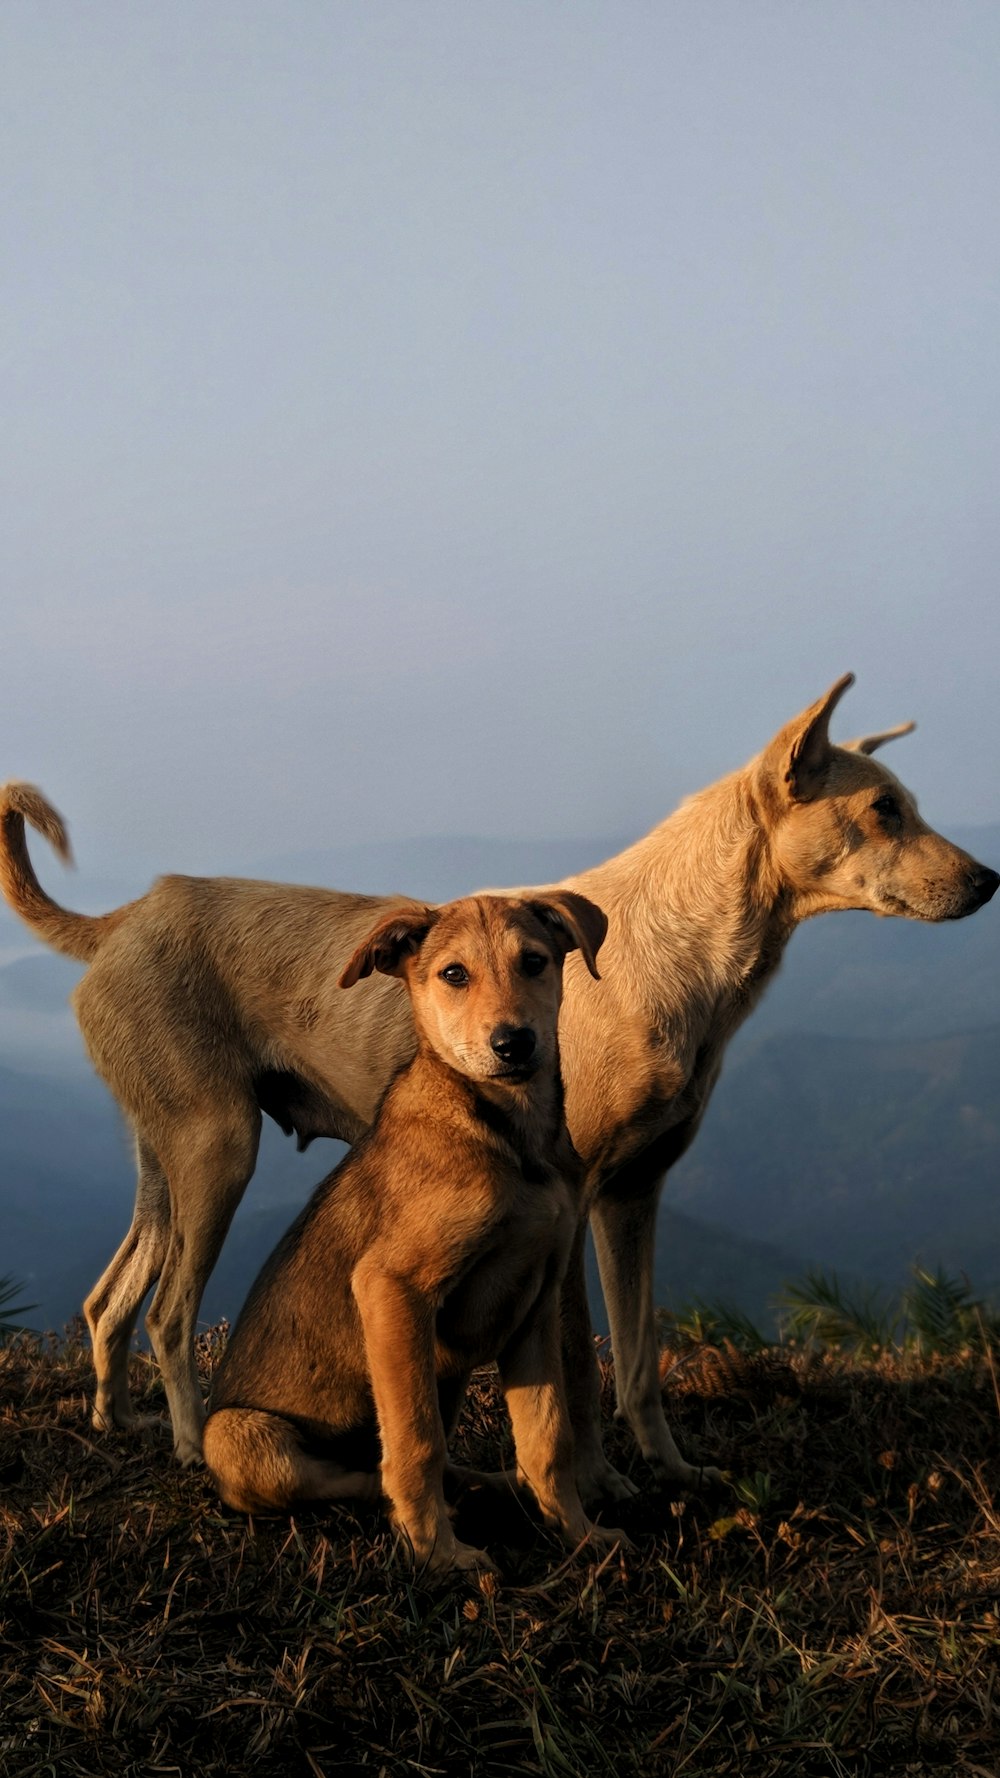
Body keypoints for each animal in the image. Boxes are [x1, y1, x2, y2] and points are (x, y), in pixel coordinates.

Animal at [0, 672, 989, 1493]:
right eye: (886, 809)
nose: (989, 879)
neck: (680, 948)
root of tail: (122, 920)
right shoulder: (579, 1204)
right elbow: (581, 1373)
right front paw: (601, 1485)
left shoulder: (634, 1196)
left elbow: (638, 1360)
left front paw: (668, 1471)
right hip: (219, 1151)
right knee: (168, 1313)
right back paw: (189, 1440)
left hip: (168, 1157)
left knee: (108, 1301)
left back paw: (116, 1421)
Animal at [203, 889, 622, 1571]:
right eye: (454, 974)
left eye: (534, 962)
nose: (514, 1043)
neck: (510, 1138)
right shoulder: (390, 1286)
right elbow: (413, 1440)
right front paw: (438, 1554)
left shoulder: (535, 1303)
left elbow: (547, 1437)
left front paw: (580, 1533)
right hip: (239, 1434)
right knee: (359, 1470)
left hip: (446, 1372)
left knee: (449, 1456)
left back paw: (490, 1486)